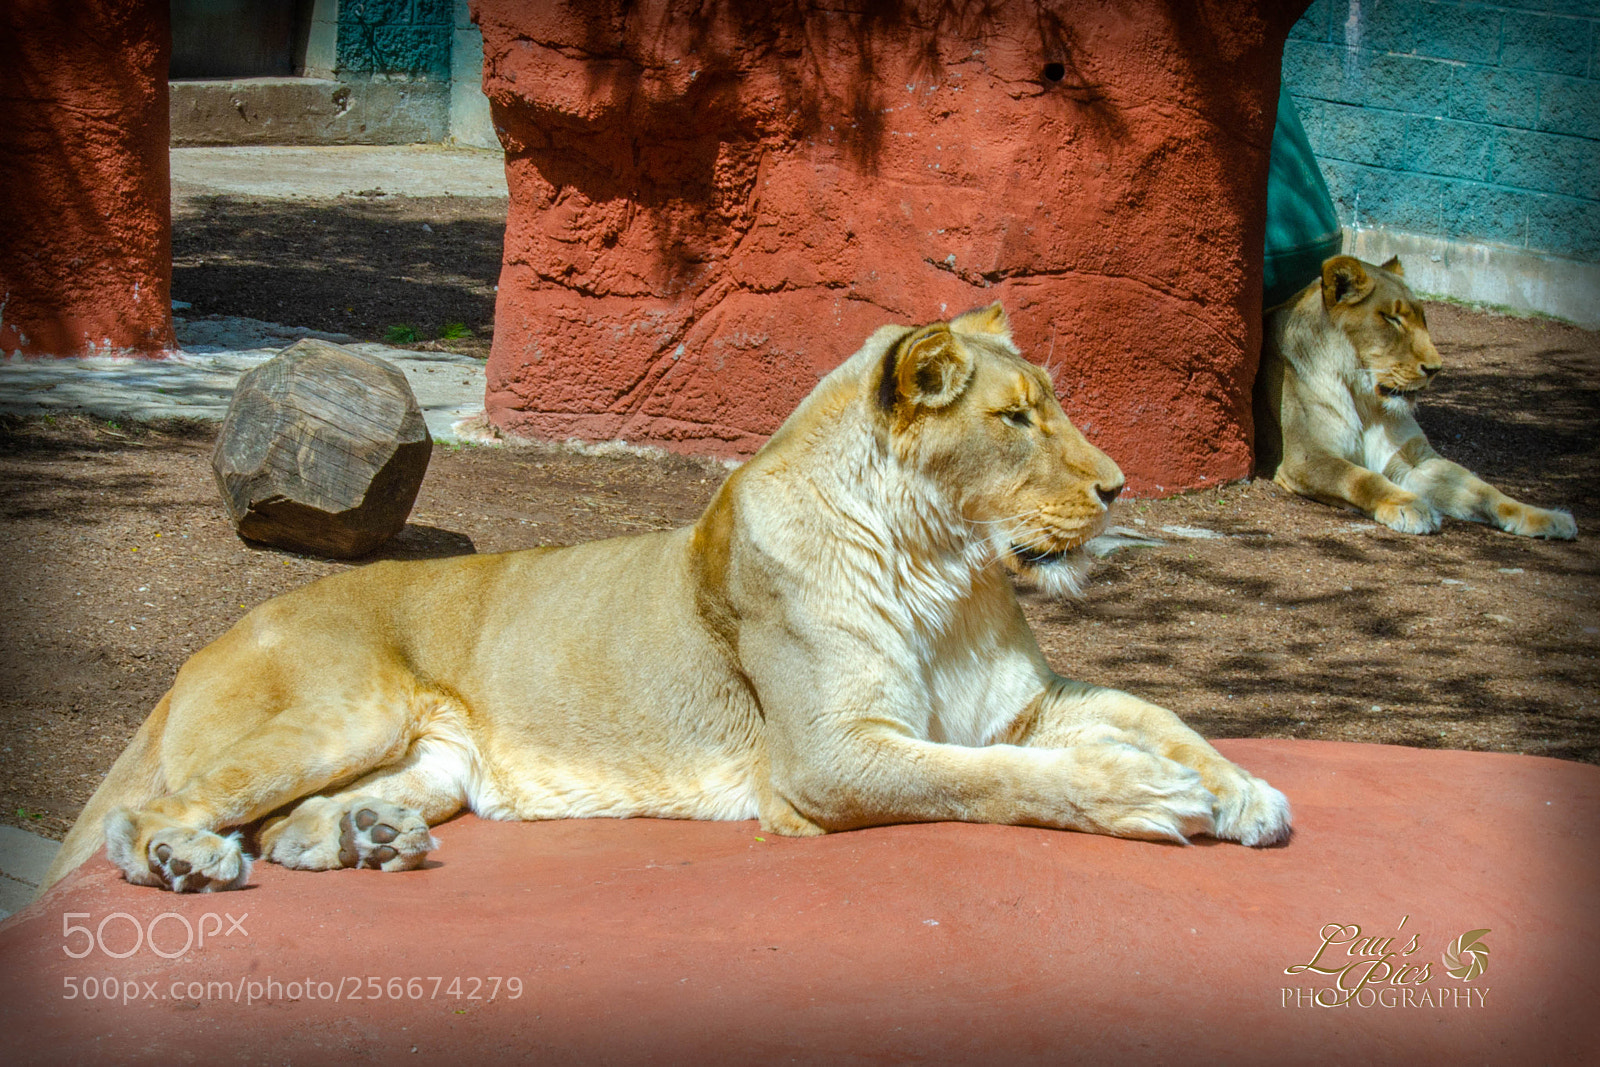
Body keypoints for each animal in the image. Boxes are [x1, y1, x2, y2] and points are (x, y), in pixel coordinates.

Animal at [41, 304, 1291, 896]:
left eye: (1052, 405)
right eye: (1015, 418)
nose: (1118, 486)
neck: (946, 569)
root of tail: (219, 632)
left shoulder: (1021, 702)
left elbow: (1155, 710)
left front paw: (1245, 790)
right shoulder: (828, 756)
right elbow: (1001, 779)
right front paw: (1145, 793)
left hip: (423, 758)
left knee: (284, 827)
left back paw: (370, 835)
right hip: (339, 708)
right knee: (153, 816)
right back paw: (192, 863)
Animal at [1255, 254, 1577, 539]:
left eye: (1424, 319)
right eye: (1393, 319)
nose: (1435, 369)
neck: (1365, 400)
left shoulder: (1416, 460)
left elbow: (1485, 490)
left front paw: (1547, 517)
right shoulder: (1306, 456)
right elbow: (1364, 479)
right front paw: (1409, 506)